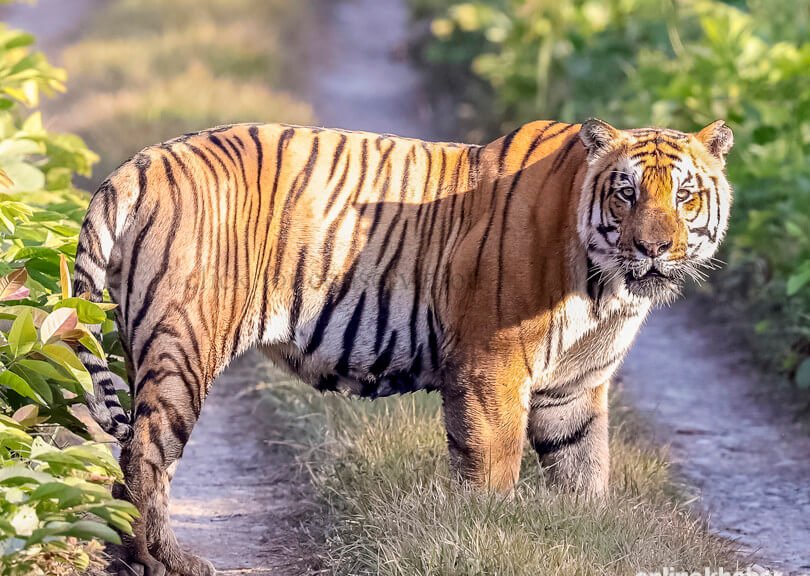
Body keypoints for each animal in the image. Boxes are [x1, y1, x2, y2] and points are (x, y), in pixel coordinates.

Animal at [76, 118, 732, 576]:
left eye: (685, 196)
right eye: (626, 194)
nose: (653, 249)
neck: (606, 290)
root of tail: (142, 163)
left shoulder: (573, 389)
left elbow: (584, 475)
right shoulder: (492, 367)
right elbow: (493, 471)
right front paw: (488, 534)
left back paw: (128, 558)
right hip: (184, 342)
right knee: (144, 452)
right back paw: (164, 559)